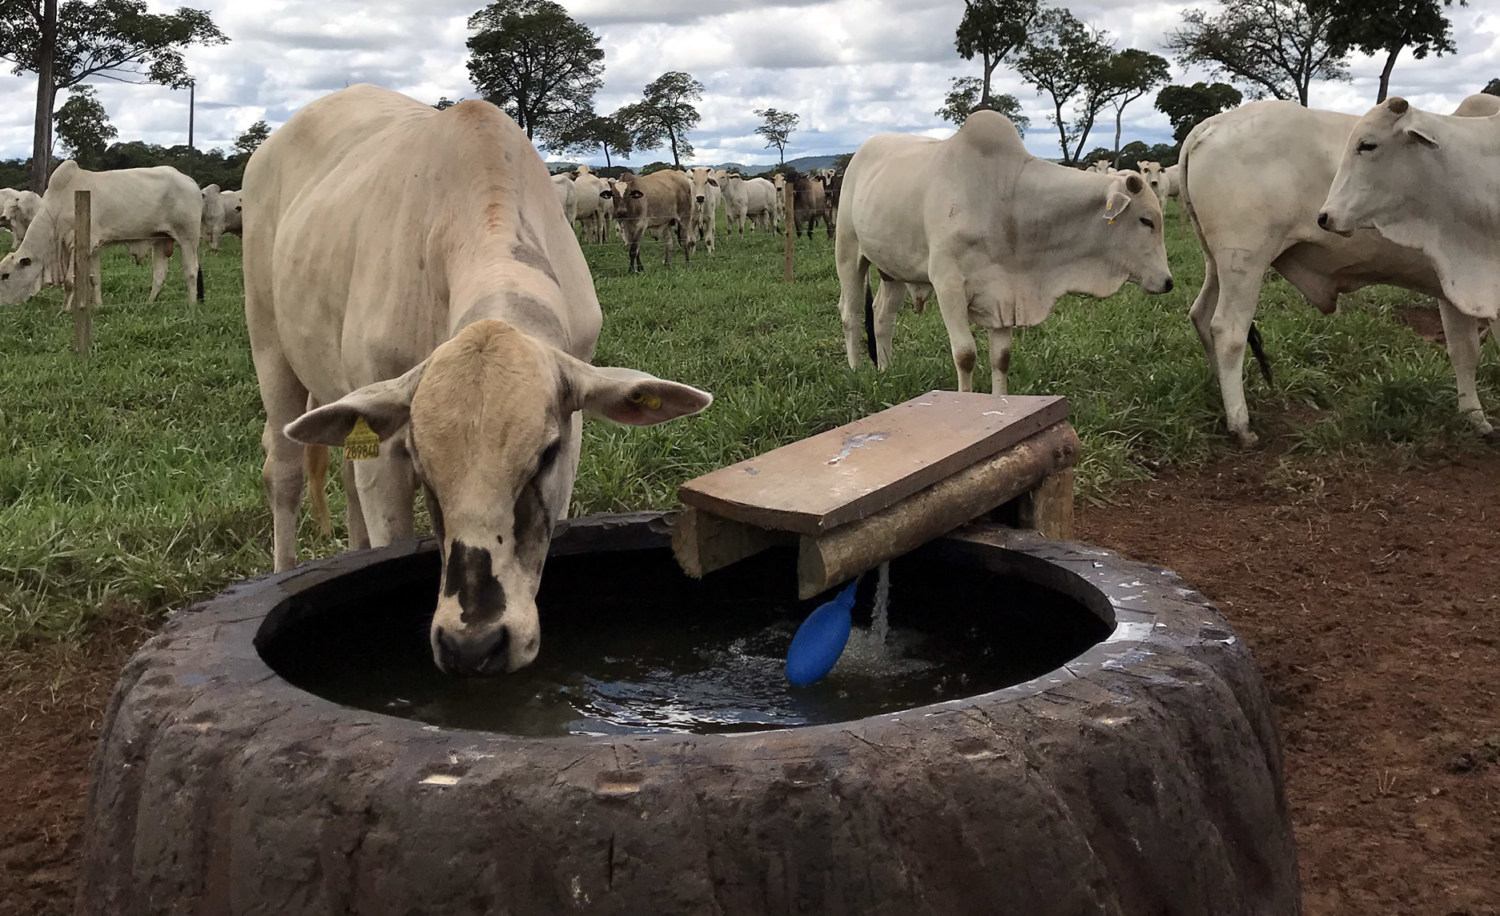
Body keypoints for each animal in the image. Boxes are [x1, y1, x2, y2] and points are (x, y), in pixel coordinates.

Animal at [0, 161, 202, 308]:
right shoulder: (93, 248)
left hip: (188, 238)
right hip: (160, 239)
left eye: (5, 275)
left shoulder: (77, 244)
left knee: (191, 271)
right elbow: (94, 279)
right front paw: (98, 306)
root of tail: (191, 181)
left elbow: (69, 282)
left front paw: (64, 310)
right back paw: (149, 303)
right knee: (159, 274)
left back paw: (191, 305)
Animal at [246, 86, 714, 677]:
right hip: (269, 345)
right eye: (422, 461)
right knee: (283, 471)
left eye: (546, 455)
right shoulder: (388, 451)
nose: (474, 644)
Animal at [834, 109, 1170, 392]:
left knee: (881, 315)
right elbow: (965, 354)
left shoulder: (1004, 294)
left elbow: (1002, 358)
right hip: (848, 251)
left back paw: (886, 371)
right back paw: (855, 370)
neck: (1007, 202)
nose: (1168, 282)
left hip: (892, 270)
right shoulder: (947, 284)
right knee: (851, 312)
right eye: (1147, 220)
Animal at [1182, 94, 1500, 446]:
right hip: (1244, 260)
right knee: (1228, 331)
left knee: (1201, 317)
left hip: (1216, 264)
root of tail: (1210, 123)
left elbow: (1464, 352)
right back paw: (1240, 423)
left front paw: (1474, 418)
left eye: (1367, 146)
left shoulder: (1456, 287)